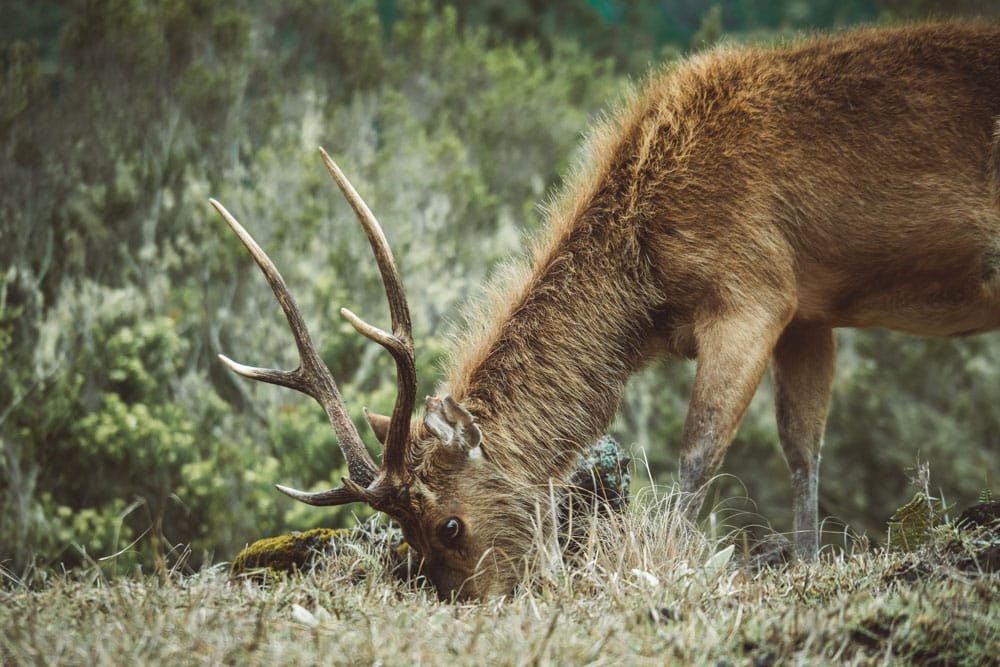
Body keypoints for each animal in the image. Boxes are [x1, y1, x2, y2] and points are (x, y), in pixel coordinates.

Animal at [215, 23, 1000, 604]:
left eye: (448, 526)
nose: (475, 601)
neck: (649, 287)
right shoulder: (809, 311)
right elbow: (803, 448)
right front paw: (807, 566)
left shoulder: (752, 289)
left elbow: (698, 450)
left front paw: (665, 564)